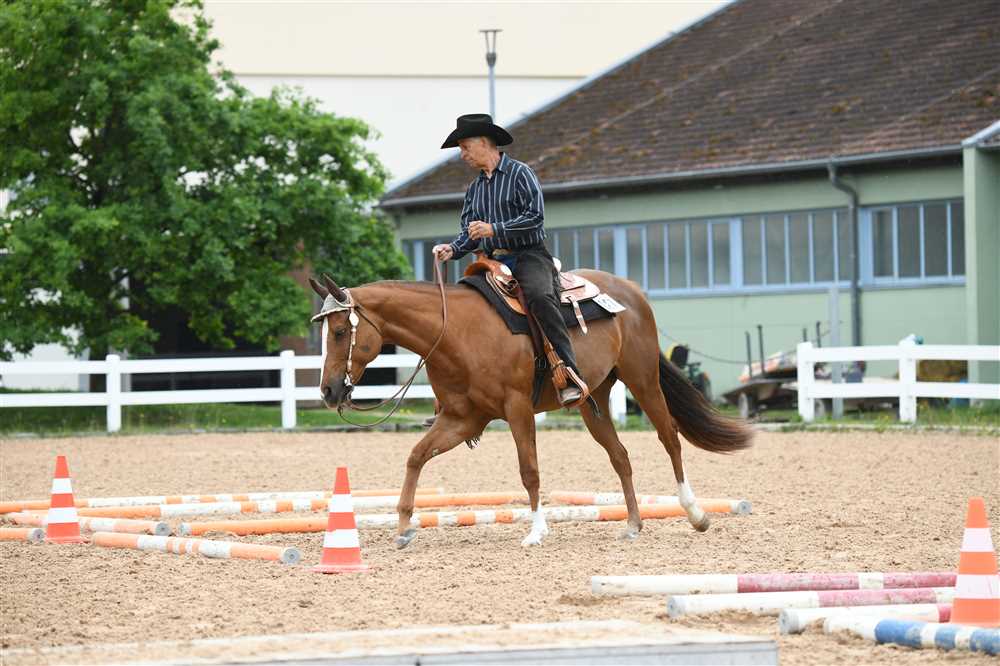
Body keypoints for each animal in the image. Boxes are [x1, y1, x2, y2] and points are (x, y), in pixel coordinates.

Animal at [309, 268, 753, 548]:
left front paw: (537, 531)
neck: (455, 332)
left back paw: (696, 513)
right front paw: (403, 525)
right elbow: (416, 456)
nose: (328, 390)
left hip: (643, 380)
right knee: (621, 457)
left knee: (669, 438)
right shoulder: (461, 418)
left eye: (339, 331)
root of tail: (630, 290)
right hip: (594, 401)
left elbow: (529, 471)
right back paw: (631, 525)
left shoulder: (517, 408)